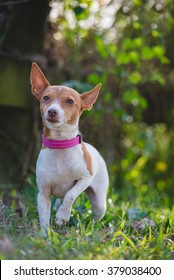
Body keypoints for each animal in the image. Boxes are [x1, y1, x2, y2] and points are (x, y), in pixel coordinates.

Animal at [29, 63, 109, 232]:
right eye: (46, 98)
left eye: (70, 101)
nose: (52, 111)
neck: (60, 145)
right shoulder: (43, 194)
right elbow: (44, 217)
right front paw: (45, 235)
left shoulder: (85, 178)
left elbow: (70, 194)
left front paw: (62, 216)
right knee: (57, 202)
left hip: (100, 203)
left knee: (96, 214)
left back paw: (91, 228)